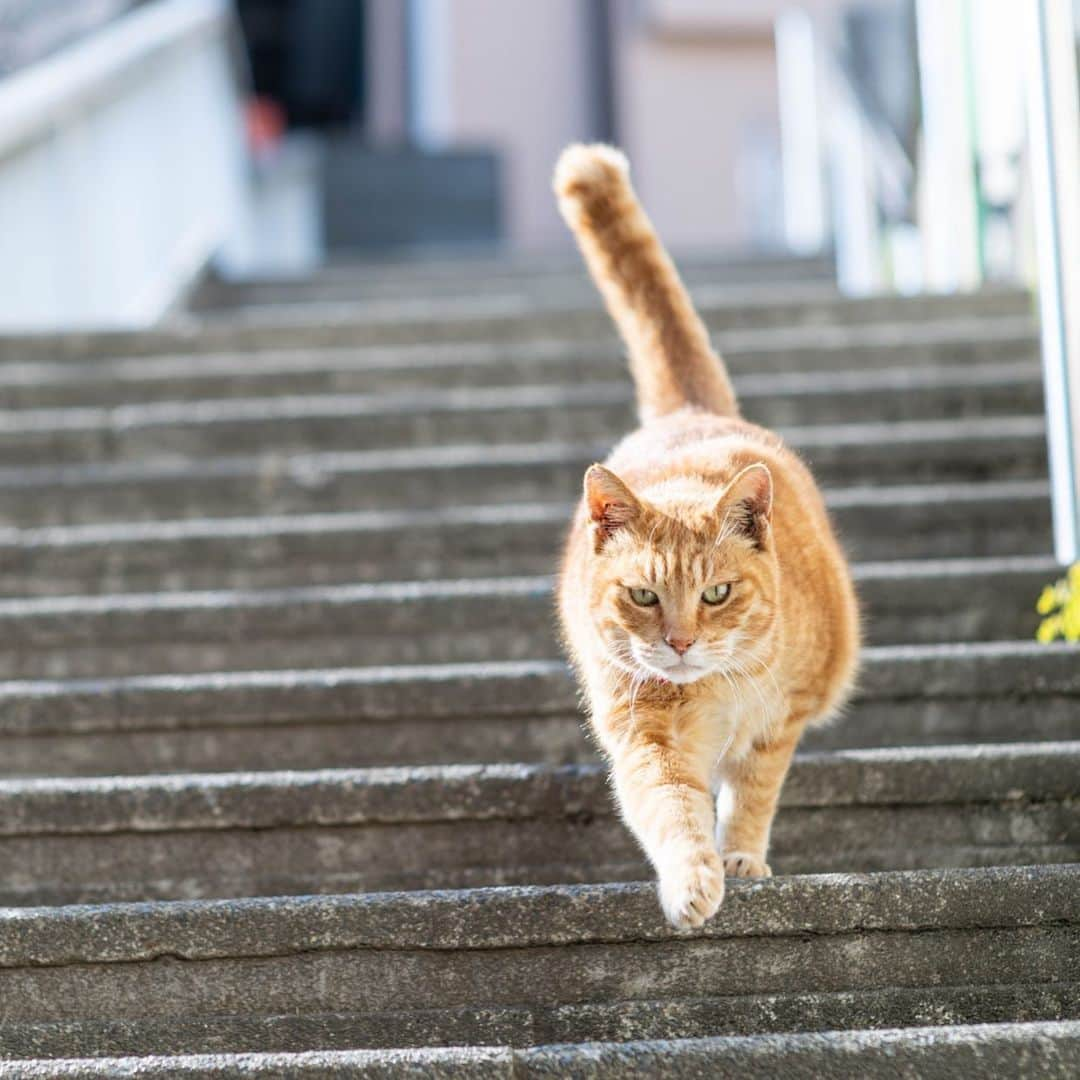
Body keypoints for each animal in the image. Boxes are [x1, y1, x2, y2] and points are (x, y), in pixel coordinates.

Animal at [557, 143, 859, 928]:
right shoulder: (644, 739)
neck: (710, 693)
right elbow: (673, 811)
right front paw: (694, 880)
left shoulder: (779, 722)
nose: (681, 642)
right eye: (643, 596)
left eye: (717, 593)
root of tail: (688, 412)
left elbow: (751, 795)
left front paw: (741, 858)